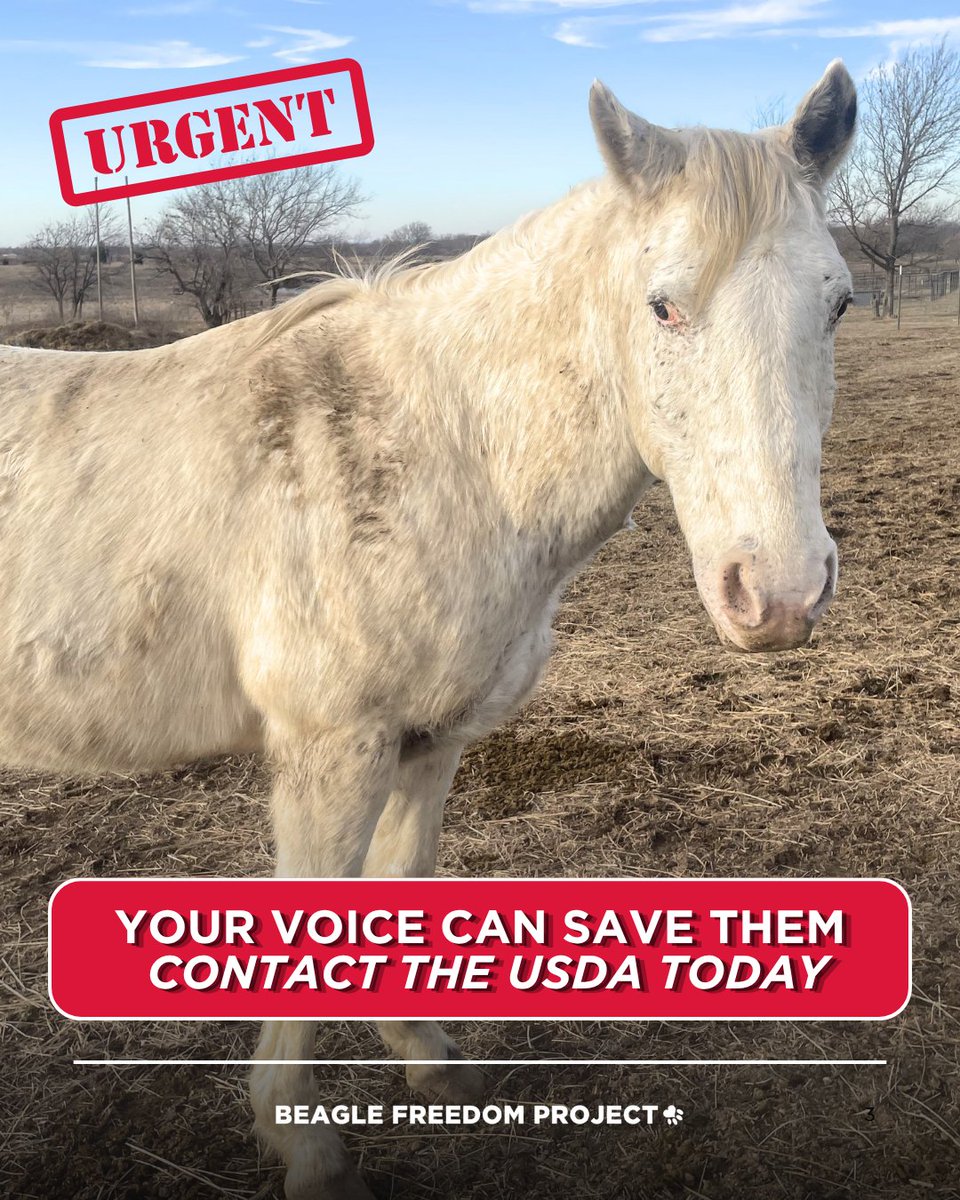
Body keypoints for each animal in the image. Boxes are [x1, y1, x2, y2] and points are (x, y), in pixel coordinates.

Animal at [0, 61, 856, 1198]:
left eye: (838, 303)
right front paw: (309, 1149)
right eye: (663, 305)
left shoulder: (429, 742)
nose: (781, 594)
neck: (444, 450)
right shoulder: (332, 750)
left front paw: (427, 1060)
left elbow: (399, 882)